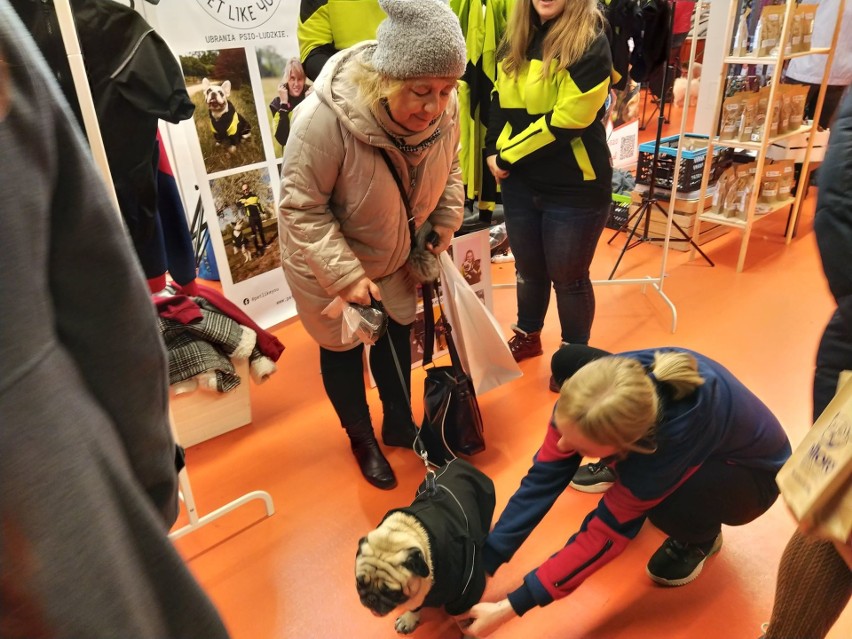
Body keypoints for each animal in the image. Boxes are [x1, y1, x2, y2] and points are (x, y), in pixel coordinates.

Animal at [354, 460, 500, 636]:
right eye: (359, 583)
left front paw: (468, 631)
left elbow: (462, 615)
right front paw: (410, 618)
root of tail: (457, 461)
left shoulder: (466, 588)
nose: (371, 599)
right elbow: (416, 606)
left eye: (391, 593)